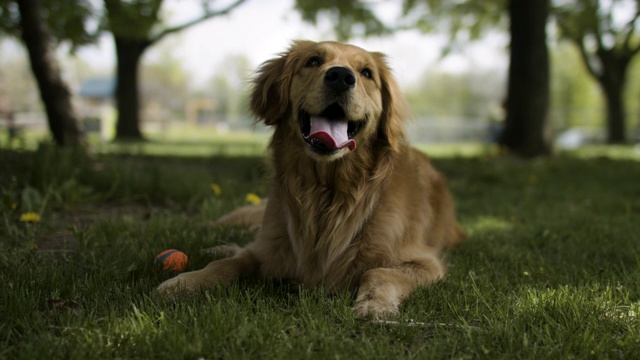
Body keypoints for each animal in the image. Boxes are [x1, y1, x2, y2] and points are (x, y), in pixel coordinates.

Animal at [157, 40, 462, 318]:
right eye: (313, 61)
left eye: (366, 73)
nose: (340, 76)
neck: (328, 189)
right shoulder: (270, 248)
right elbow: (231, 263)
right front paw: (186, 282)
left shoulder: (426, 262)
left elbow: (378, 272)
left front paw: (374, 304)